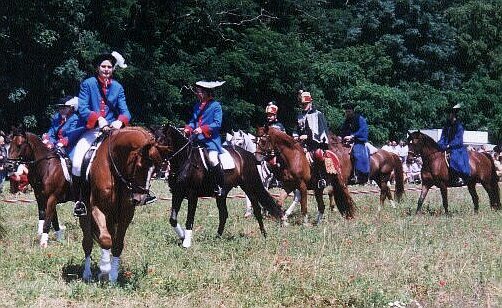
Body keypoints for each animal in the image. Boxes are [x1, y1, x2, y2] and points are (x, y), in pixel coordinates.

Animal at [77, 126, 166, 282]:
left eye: (156, 170)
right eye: (139, 166)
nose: (140, 198)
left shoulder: (126, 213)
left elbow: (117, 244)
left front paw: (112, 276)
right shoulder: (97, 209)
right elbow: (105, 240)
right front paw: (105, 270)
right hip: (86, 215)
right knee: (88, 242)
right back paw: (87, 274)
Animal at [153, 125, 284, 248]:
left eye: (162, 140)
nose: (155, 163)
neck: (186, 161)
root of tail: (248, 154)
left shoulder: (192, 195)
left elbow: (190, 218)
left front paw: (186, 242)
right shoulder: (177, 194)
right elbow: (173, 219)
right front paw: (182, 237)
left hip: (249, 186)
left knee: (256, 209)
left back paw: (264, 235)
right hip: (222, 194)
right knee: (224, 214)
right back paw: (217, 237)